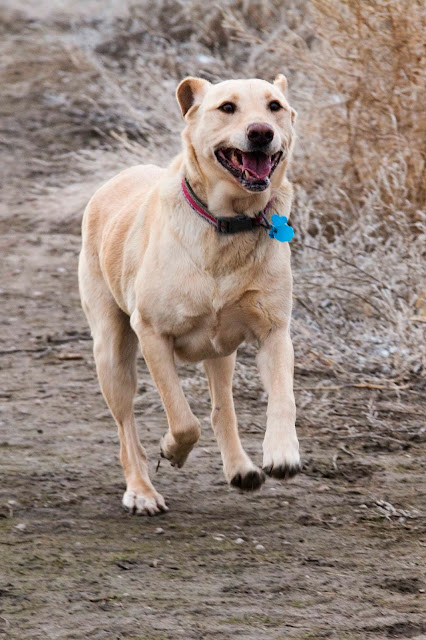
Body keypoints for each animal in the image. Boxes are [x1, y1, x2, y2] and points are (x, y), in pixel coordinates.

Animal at [78, 75, 300, 515]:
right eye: (227, 107)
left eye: (275, 106)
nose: (261, 133)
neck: (226, 223)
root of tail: (117, 178)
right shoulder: (152, 335)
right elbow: (183, 420)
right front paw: (171, 449)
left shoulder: (273, 332)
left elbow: (283, 398)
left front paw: (282, 453)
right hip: (111, 352)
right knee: (126, 428)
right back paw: (141, 490)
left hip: (221, 352)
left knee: (222, 409)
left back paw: (240, 468)